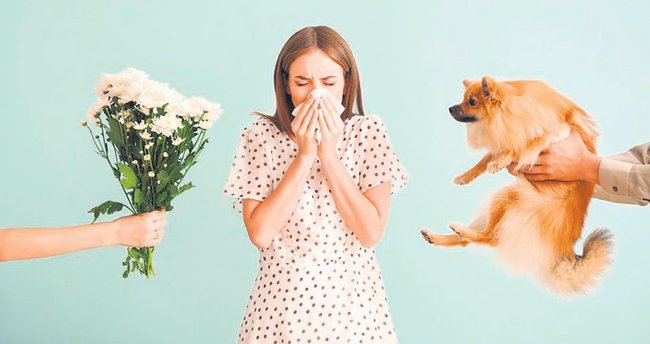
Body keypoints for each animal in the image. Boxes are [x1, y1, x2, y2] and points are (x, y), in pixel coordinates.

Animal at [422, 76, 612, 296]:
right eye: (462, 99)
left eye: (472, 102)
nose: (451, 108)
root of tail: (564, 250)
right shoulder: (503, 139)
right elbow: (484, 160)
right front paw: (466, 175)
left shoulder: (557, 132)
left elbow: (524, 145)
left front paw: (501, 160)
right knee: (472, 240)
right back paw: (436, 236)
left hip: (509, 197)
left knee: (491, 238)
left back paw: (460, 229)